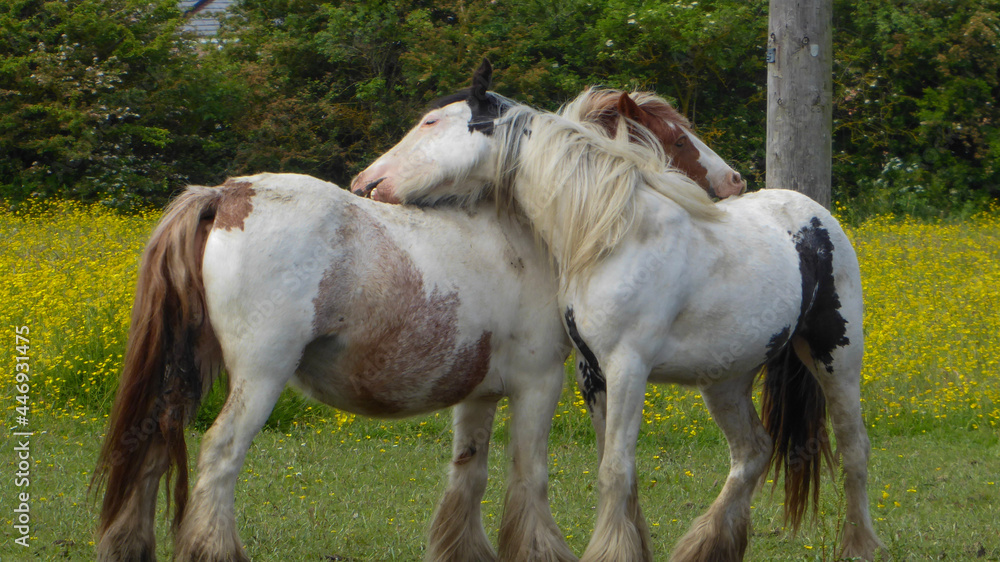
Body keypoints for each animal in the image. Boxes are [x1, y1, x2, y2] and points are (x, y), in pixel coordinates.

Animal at [91, 173, 579, 562]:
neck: (527, 236)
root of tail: (228, 194)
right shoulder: (539, 384)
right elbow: (530, 474)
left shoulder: (480, 394)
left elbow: (469, 472)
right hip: (260, 377)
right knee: (221, 452)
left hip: (188, 371)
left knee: (155, 445)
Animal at [352, 61, 886, 561]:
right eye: (677, 137)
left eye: (430, 122)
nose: (365, 181)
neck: (613, 235)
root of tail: (813, 214)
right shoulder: (594, 373)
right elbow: (617, 467)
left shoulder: (629, 366)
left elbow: (614, 469)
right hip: (726, 379)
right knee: (752, 451)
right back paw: (707, 546)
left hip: (836, 360)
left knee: (853, 449)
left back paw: (858, 545)